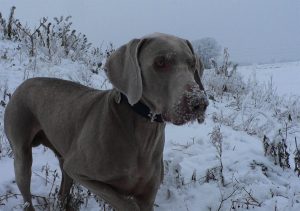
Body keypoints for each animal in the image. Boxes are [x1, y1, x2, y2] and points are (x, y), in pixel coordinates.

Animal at [3, 32, 209, 210]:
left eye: (192, 64)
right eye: (160, 62)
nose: (199, 103)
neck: (142, 133)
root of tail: (23, 84)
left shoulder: (148, 195)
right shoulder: (81, 172)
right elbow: (126, 203)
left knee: (63, 190)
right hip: (22, 152)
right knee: (26, 192)